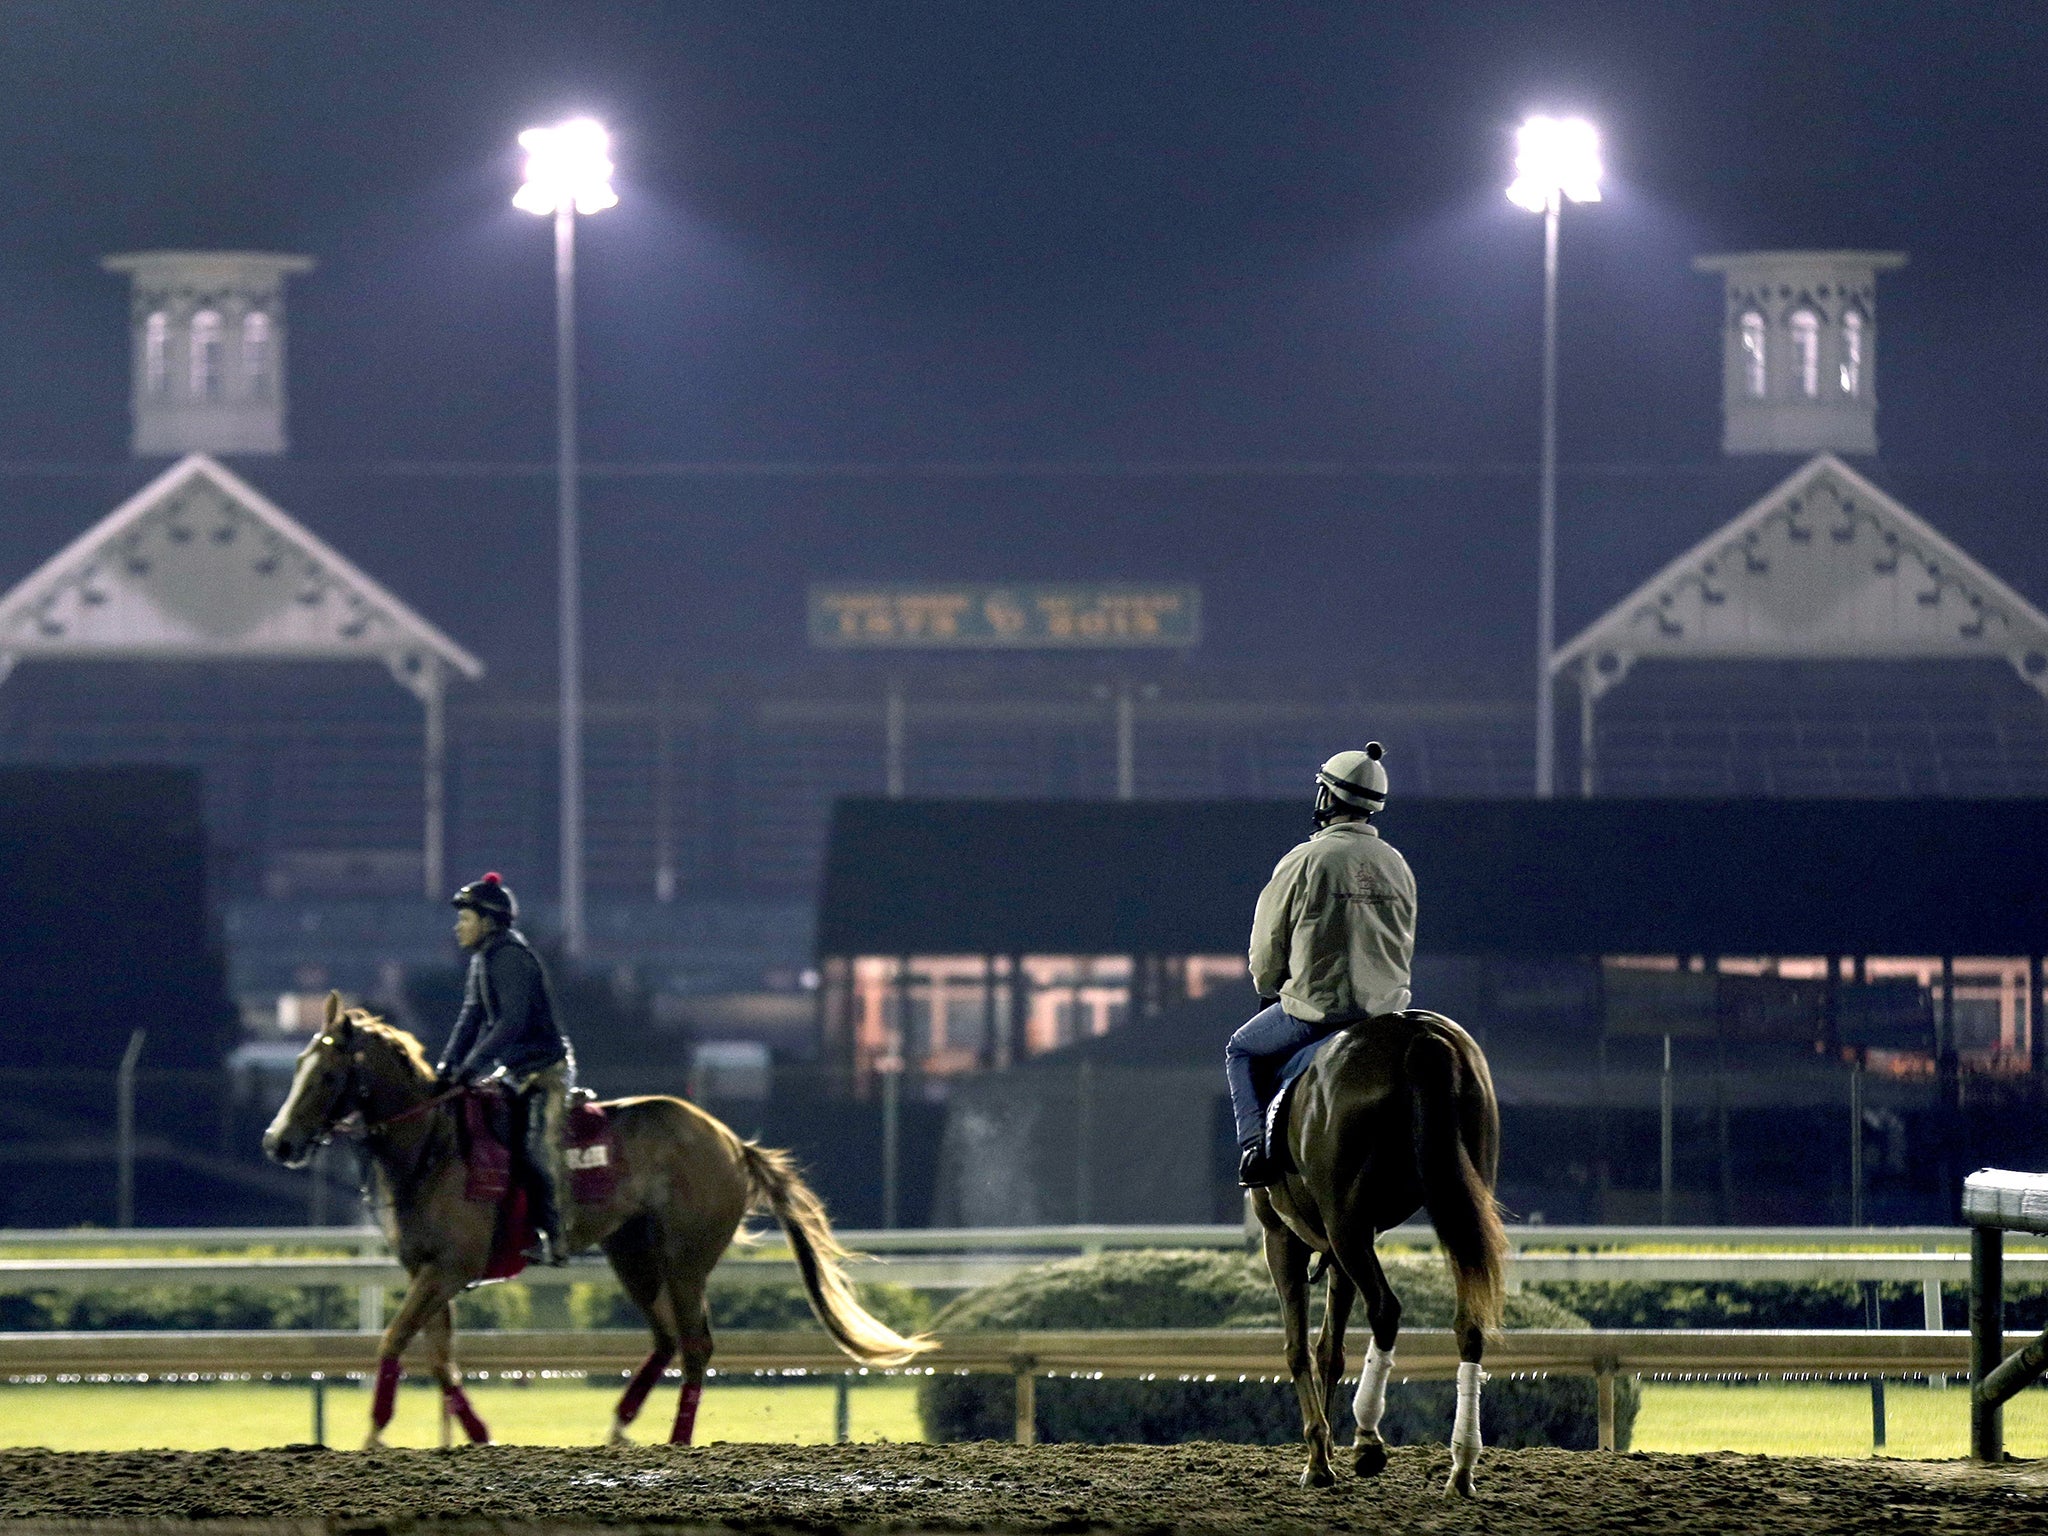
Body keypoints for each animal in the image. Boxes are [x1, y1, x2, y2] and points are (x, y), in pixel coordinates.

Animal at [260, 991, 933, 1449]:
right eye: (295, 1065)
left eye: (326, 1073)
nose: (277, 1142)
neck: (433, 1144)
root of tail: (729, 1141)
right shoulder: (428, 1272)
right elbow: (437, 1356)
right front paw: (476, 1433)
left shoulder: (448, 1270)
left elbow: (396, 1339)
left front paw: (375, 1433)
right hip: (631, 1255)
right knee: (665, 1339)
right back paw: (619, 1425)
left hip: (685, 1260)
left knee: (695, 1344)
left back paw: (678, 1439)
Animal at [1236, 1015, 1515, 1499]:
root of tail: (1420, 1036)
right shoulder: (1337, 1252)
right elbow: (1330, 1350)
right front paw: (1323, 1452)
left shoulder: (1283, 1239)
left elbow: (1298, 1349)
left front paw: (1318, 1460)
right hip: (1457, 1204)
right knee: (1469, 1323)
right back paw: (1461, 1465)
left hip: (1347, 1223)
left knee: (1385, 1309)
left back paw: (1368, 1438)